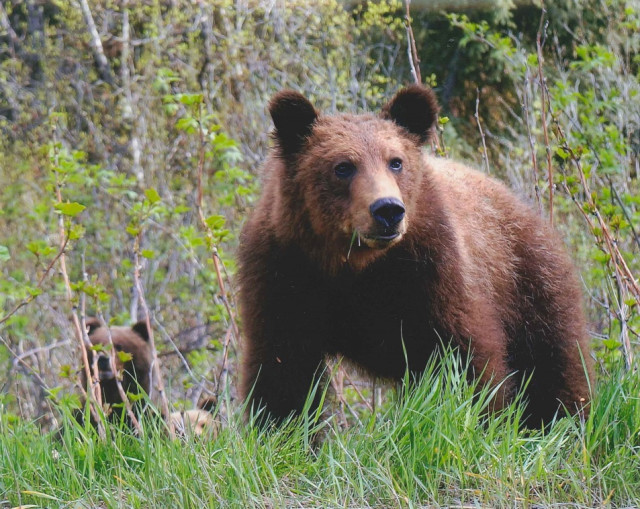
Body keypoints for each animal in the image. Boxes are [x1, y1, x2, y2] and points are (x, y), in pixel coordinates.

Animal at [237, 84, 593, 429]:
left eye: (395, 161)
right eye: (343, 167)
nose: (387, 210)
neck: (354, 264)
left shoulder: (431, 271)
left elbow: (463, 355)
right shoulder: (286, 272)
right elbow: (283, 368)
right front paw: (281, 430)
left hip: (527, 280)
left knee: (554, 359)